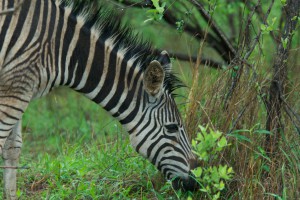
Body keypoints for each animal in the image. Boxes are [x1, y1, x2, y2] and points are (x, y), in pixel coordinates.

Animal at [0, 0, 199, 197]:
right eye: (172, 128)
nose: (196, 183)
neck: (61, 48)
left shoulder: (24, 86)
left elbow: (13, 148)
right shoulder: (15, 85)